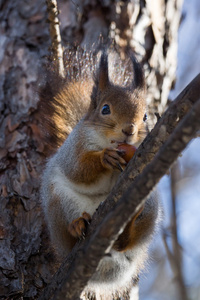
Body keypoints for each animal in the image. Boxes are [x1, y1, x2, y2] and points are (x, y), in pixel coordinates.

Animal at [39, 48, 160, 300]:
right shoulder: (74, 148)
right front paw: (105, 157)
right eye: (105, 109)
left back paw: (125, 229)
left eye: (145, 116)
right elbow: (79, 169)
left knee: (126, 242)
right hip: (59, 202)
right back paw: (77, 226)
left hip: (151, 206)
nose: (129, 130)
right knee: (70, 233)